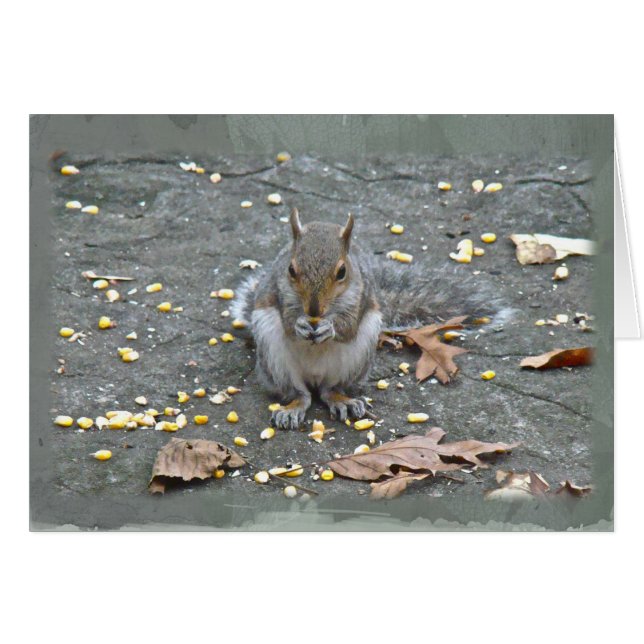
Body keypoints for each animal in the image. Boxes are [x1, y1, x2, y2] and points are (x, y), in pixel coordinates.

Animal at [231, 208, 509, 430]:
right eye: (290, 269)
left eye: (342, 272)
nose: (313, 310)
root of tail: (315, 378)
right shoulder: (277, 292)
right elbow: (288, 322)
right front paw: (299, 325)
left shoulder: (361, 296)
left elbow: (348, 327)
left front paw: (330, 329)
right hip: (274, 357)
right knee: (301, 394)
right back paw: (293, 408)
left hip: (358, 355)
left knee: (330, 390)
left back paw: (343, 401)